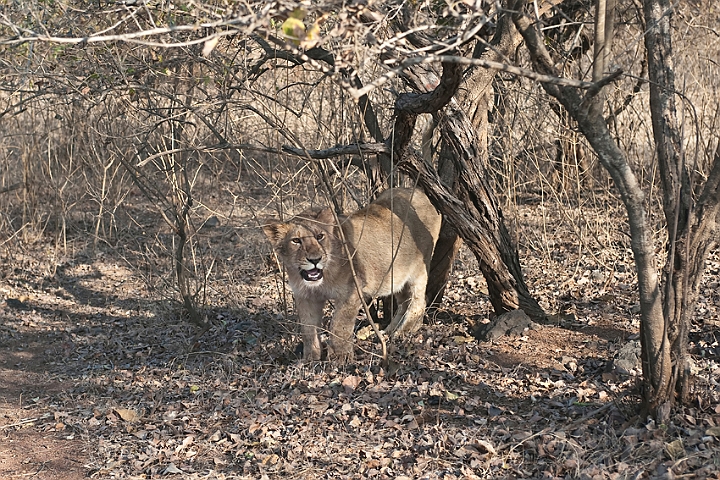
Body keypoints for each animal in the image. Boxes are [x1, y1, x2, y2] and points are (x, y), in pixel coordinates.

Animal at [262, 189, 442, 362]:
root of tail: (421, 192)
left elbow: (339, 324)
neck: (322, 279)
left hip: (419, 269)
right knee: (404, 303)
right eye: (296, 241)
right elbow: (308, 329)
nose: (315, 260)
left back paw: (404, 332)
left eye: (320, 236)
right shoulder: (305, 297)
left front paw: (339, 357)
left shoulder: (351, 290)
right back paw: (389, 332)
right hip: (397, 277)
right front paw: (310, 359)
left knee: (419, 302)